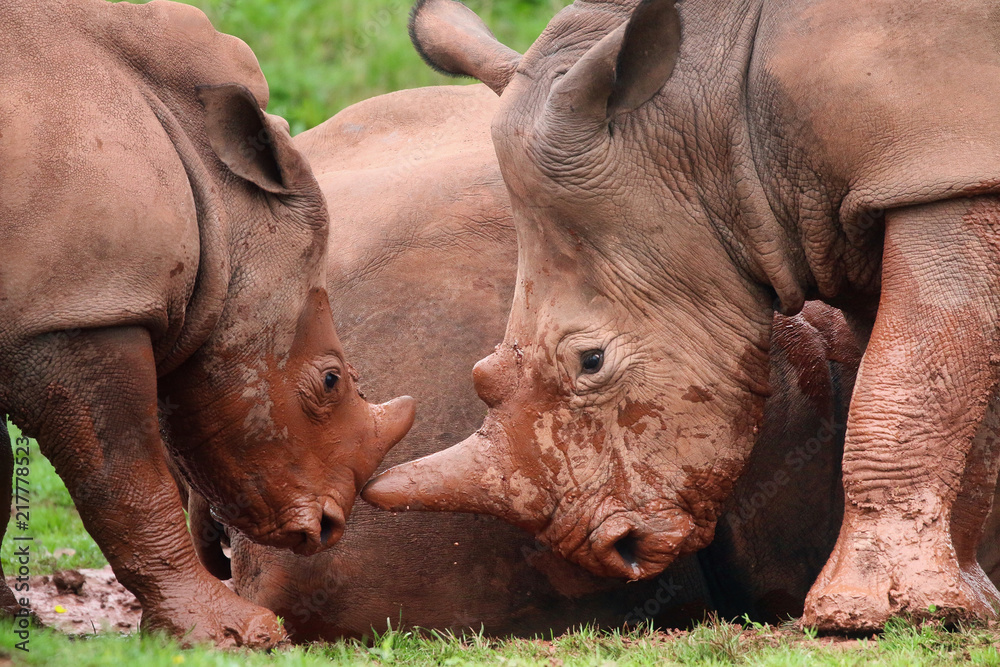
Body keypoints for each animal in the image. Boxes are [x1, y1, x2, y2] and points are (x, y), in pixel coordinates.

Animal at [0, 0, 413, 645]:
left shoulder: (47, 304)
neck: (221, 199)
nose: (329, 527)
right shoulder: (80, 311)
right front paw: (239, 635)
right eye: (329, 381)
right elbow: (125, 479)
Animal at [365, 0, 1000, 631]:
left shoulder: (941, 175)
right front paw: (963, 605)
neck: (715, 114)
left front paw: (862, 614)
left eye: (591, 361)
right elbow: (943, 395)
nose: (615, 549)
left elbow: (902, 386)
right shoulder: (893, 188)